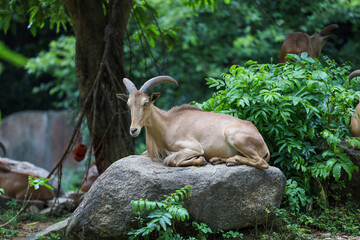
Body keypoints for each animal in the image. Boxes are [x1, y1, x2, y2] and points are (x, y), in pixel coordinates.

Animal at [116, 76, 270, 169]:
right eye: (129, 105)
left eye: (146, 103)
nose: (133, 130)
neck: (167, 124)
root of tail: (263, 143)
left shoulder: (193, 147)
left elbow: (170, 160)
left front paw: (200, 160)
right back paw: (219, 159)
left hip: (235, 136)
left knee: (261, 162)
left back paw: (234, 160)